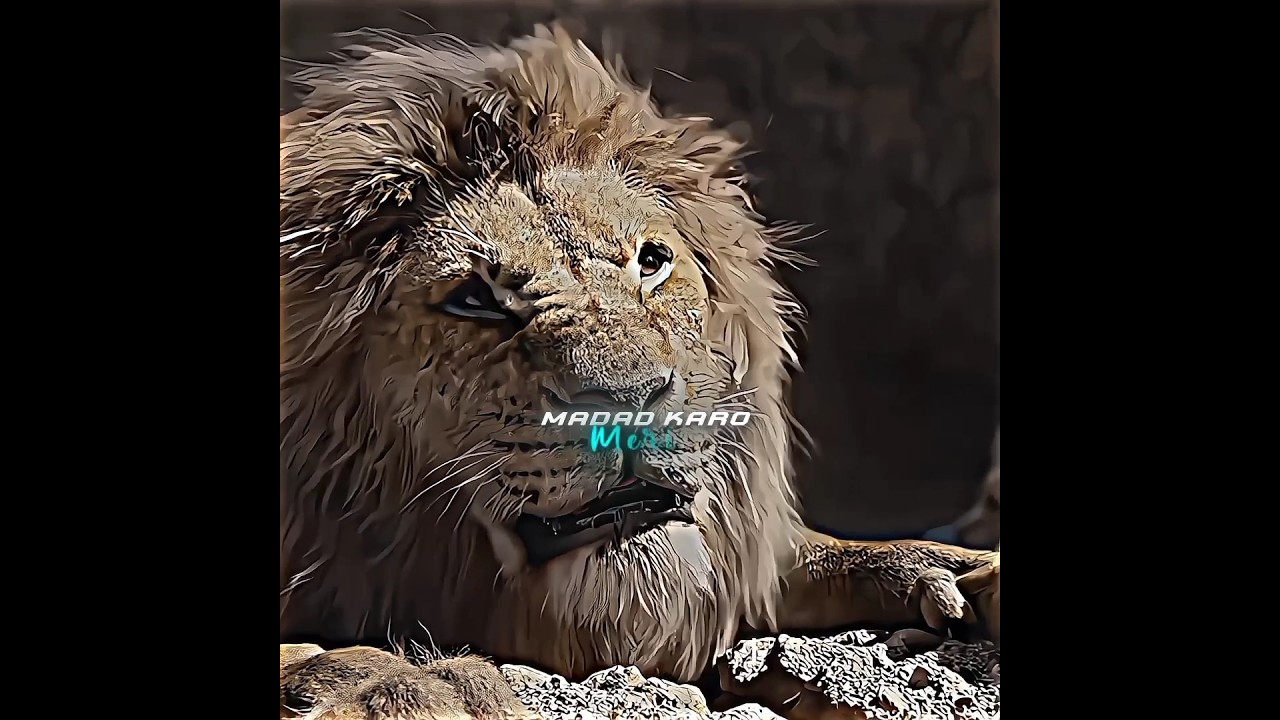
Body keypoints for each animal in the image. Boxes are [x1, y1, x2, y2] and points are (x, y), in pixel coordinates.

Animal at [280, 26, 1000, 719]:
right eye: (474, 300)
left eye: (650, 262)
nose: (627, 401)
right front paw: (410, 685)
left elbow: (826, 551)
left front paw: (964, 573)